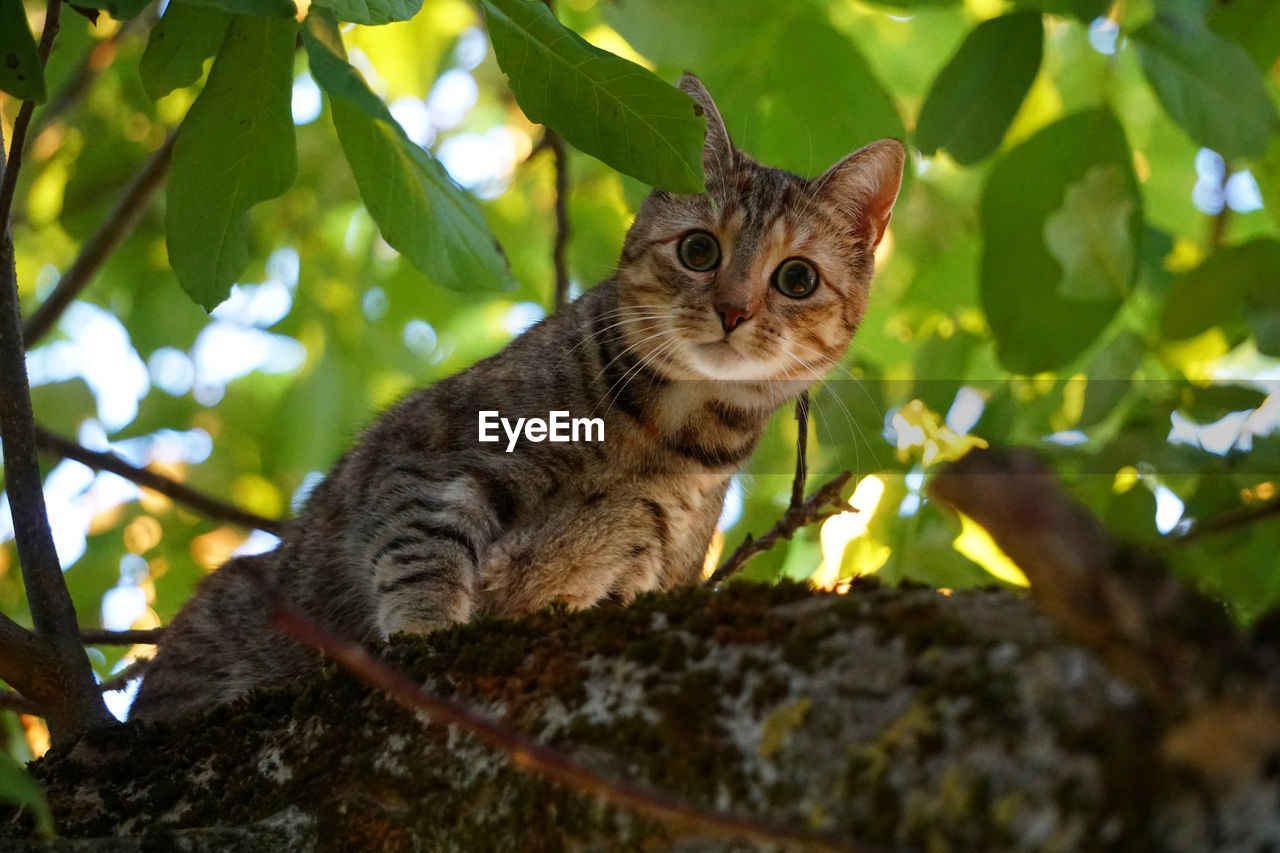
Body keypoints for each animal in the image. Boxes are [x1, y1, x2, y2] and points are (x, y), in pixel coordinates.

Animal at [129, 74, 906, 717]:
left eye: (797, 279)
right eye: (698, 251)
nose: (733, 310)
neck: (661, 435)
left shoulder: (650, 566)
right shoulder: (431, 462)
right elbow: (422, 550)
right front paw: (425, 633)